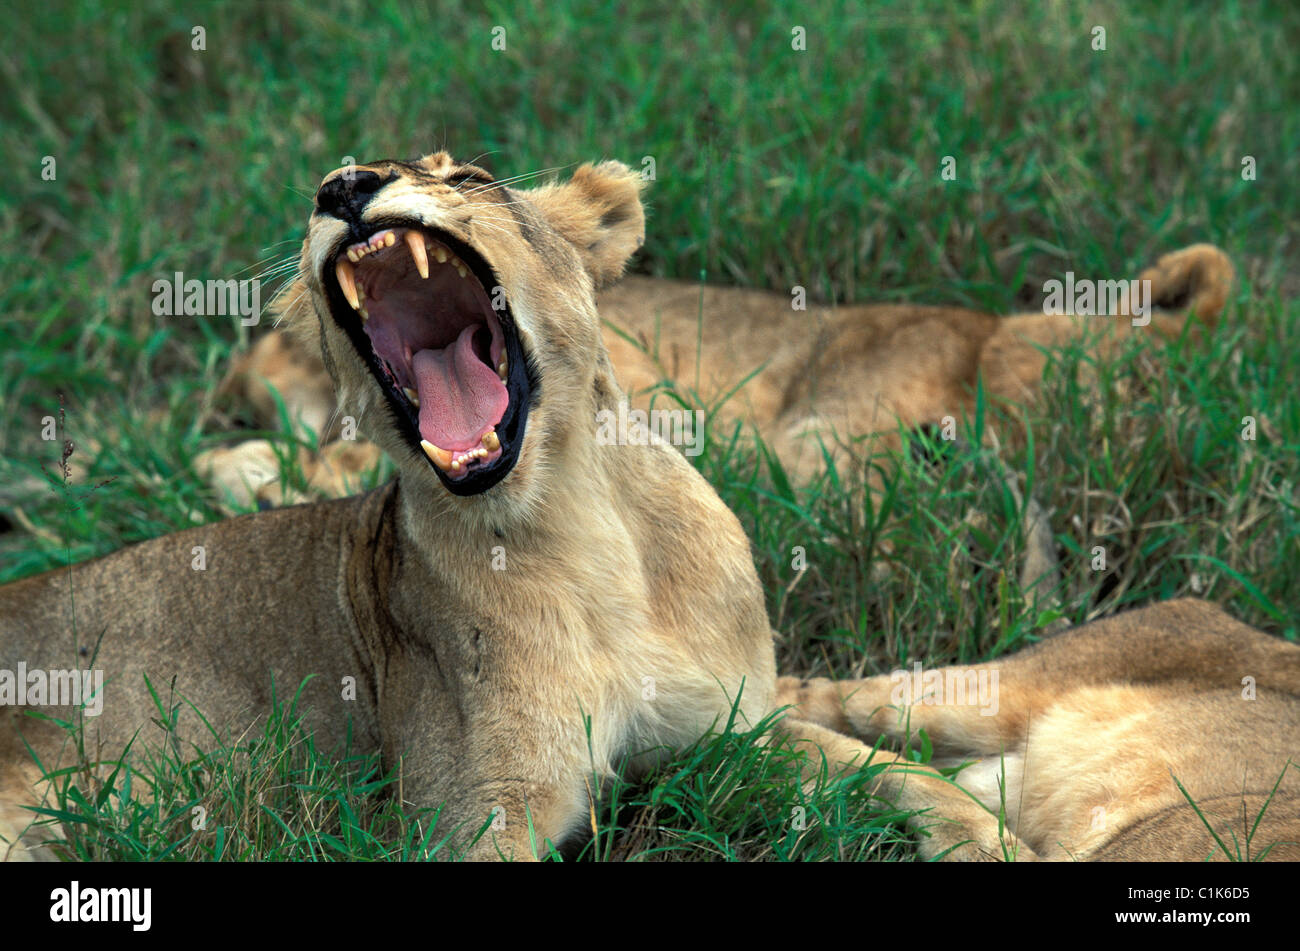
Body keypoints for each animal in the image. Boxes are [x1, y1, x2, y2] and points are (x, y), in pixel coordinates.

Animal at [5, 150, 1294, 862]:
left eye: (465, 174)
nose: (342, 186)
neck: (581, 534)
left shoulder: (732, 725)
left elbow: (892, 772)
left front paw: (991, 840)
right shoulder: (475, 812)